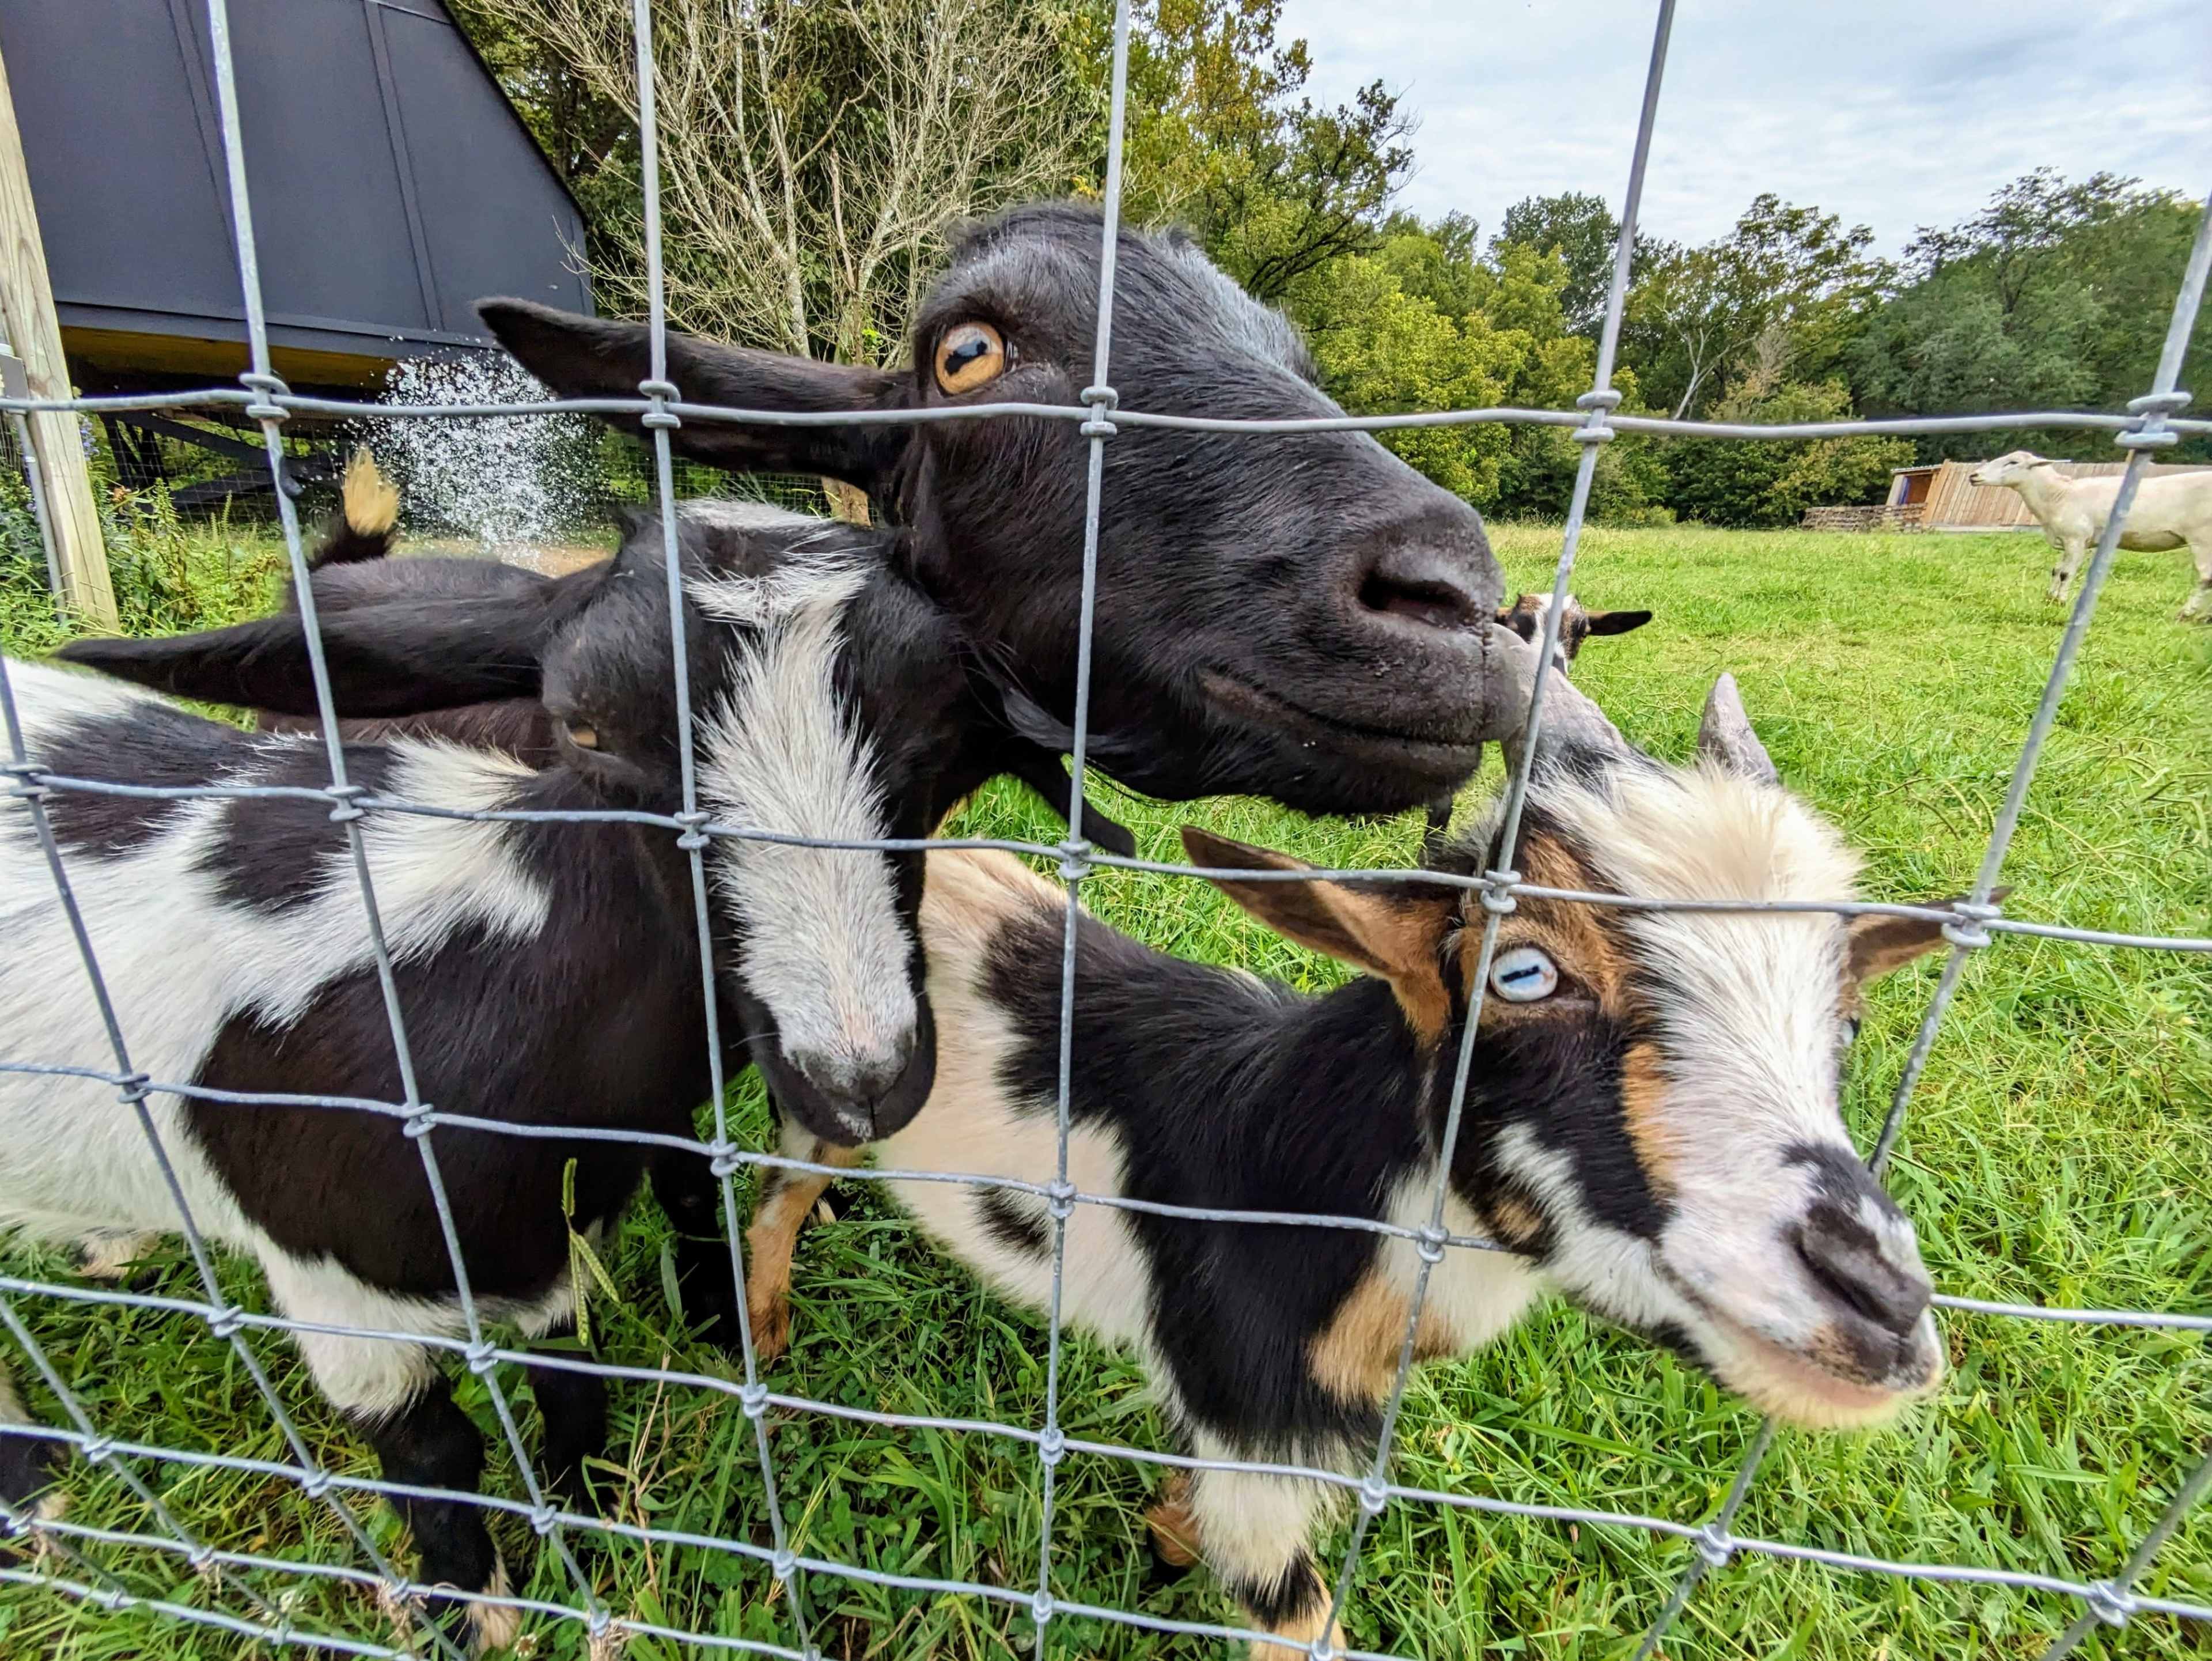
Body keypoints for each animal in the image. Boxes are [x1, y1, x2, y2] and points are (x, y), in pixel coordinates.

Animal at [5, 499, 1161, 1644]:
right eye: (587, 729)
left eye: (943, 734)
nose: (860, 1078)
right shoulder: (331, 1283)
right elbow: (434, 1453)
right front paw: (470, 1610)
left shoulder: (561, 1225)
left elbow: (577, 1372)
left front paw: (587, 1509)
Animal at [745, 627, 1953, 1657]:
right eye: (1522, 971)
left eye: (1848, 1014)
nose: (1878, 1303)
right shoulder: (1257, 1443)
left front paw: (1167, 1532)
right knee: (773, 1190)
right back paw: (763, 1332)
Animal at [1968, 449, 2212, 619]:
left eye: (2014, 462)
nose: (1973, 476)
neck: (2059, 495)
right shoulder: (2067, 540)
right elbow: (2056, 570)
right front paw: (2050, 598)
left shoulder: (2076, 539)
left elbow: (2066, 573)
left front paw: (2060, 601)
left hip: (2202, 539)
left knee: (2206, 578)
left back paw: (2186, 613)